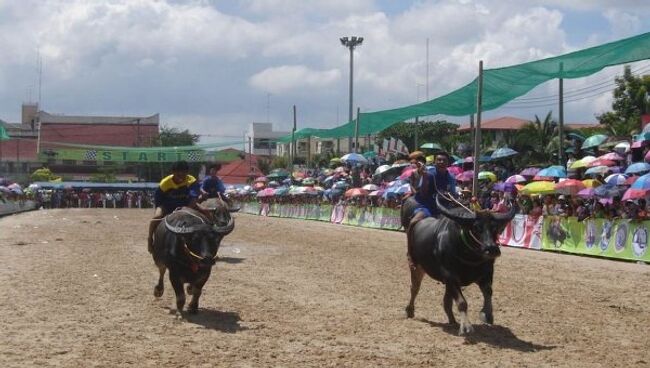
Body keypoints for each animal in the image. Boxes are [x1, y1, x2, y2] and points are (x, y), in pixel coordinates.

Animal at [398, 197, 512, 334]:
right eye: (475, 228)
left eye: (495, 228)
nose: (492, 249)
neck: (469, 255)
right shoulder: (450, 276)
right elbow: (462, 302)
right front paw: (466, 326)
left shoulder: (486, 274)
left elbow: (488, 292)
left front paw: (487, 314)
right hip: (417, 267)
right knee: (414, 288)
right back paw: (409, 310)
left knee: (446, 301)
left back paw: (452, 320)